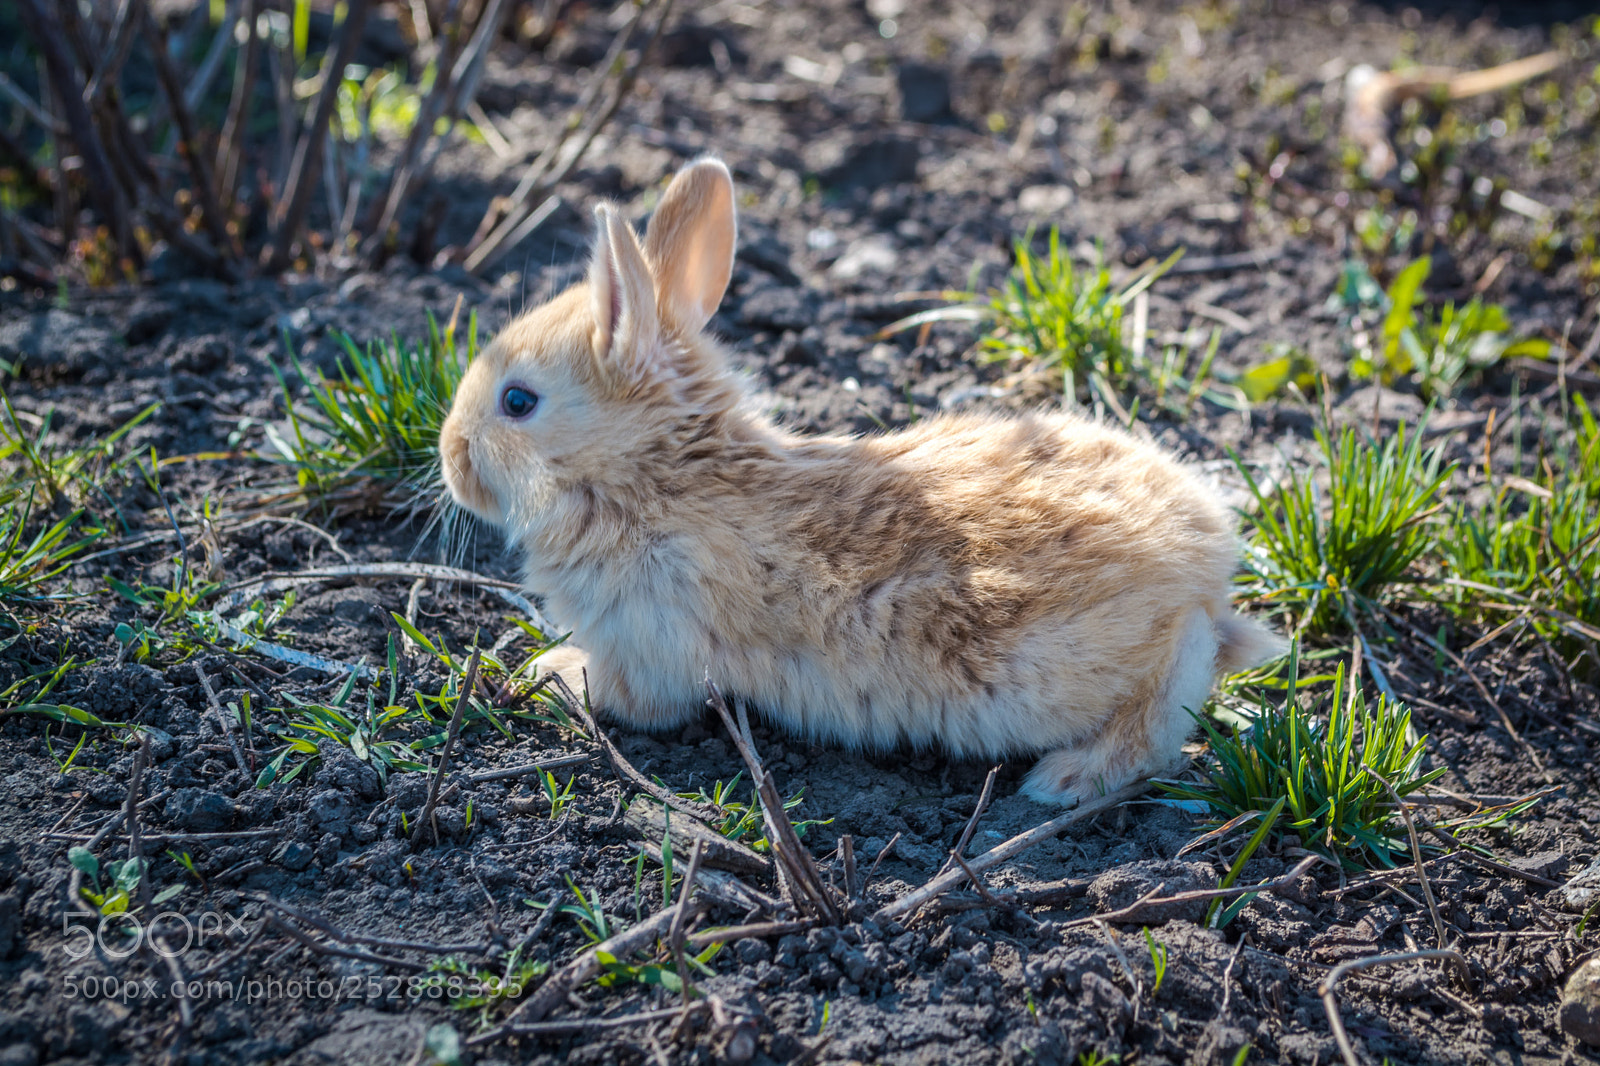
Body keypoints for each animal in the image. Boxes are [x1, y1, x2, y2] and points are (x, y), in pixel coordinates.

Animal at [438, 157, 1284, 805]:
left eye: (518, 401)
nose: (451, 457)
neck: (656, 473)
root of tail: (1206, 564)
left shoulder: (653, 653)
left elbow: (620, 693)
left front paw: (543, 671)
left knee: (1162, 711)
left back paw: (1065, 781)